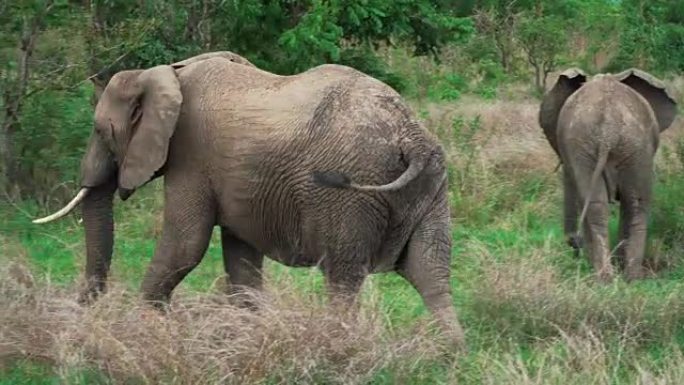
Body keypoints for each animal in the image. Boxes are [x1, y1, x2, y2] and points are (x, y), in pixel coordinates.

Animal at [34, 50, 468, 344]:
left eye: (100, 131)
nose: (83, 312)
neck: (165, 72)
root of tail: (411, 137)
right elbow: (240, 259)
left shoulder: (191, 156)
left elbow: (185, 245)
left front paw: (144, 333)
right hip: (431, 186)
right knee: (431, 273)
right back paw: (447, 358)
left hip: (351, 196)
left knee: (344, 277)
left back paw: (336, 346)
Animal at [540, 67, 680, 280]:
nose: (574, 244)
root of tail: (608, 127)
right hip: (614, 146)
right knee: (626, 205)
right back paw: (619, 277)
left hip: (622, 145)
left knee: (626, 205)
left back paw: (619, 277)